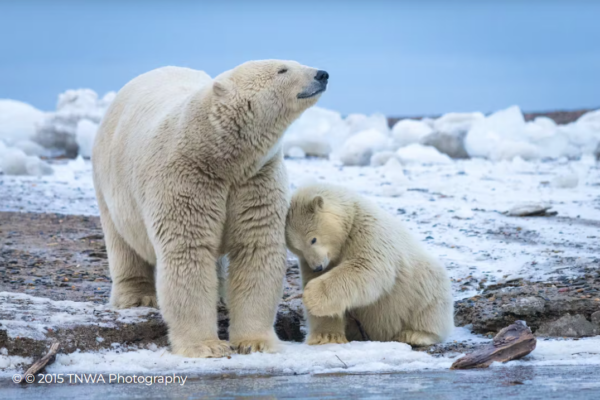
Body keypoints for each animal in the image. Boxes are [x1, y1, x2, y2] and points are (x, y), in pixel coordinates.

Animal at [92, 61, 328, 358]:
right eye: (283, 70)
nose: (322, 74)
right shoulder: (185, 177)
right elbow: (189, 251)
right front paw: (206, 346)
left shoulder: (255, 178)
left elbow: (255, 248)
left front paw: (255, 342)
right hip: (110, 180)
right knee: (122, 241)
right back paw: (137, 296)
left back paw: (220, 297)